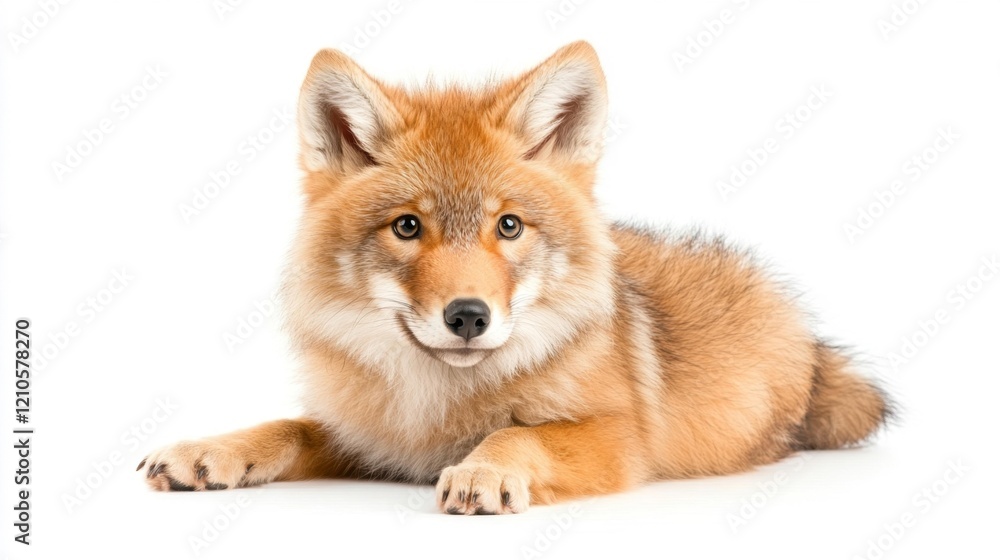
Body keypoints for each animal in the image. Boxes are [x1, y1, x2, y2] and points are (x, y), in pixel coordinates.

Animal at [140, 42, 891, 514]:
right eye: (407, 227)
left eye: (508, 226)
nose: (469, 316)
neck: (441, 409)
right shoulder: (366, 440)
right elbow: (287, 427)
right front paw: (210, 450)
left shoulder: (615, 437)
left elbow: (520, 434)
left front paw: (485, 467)